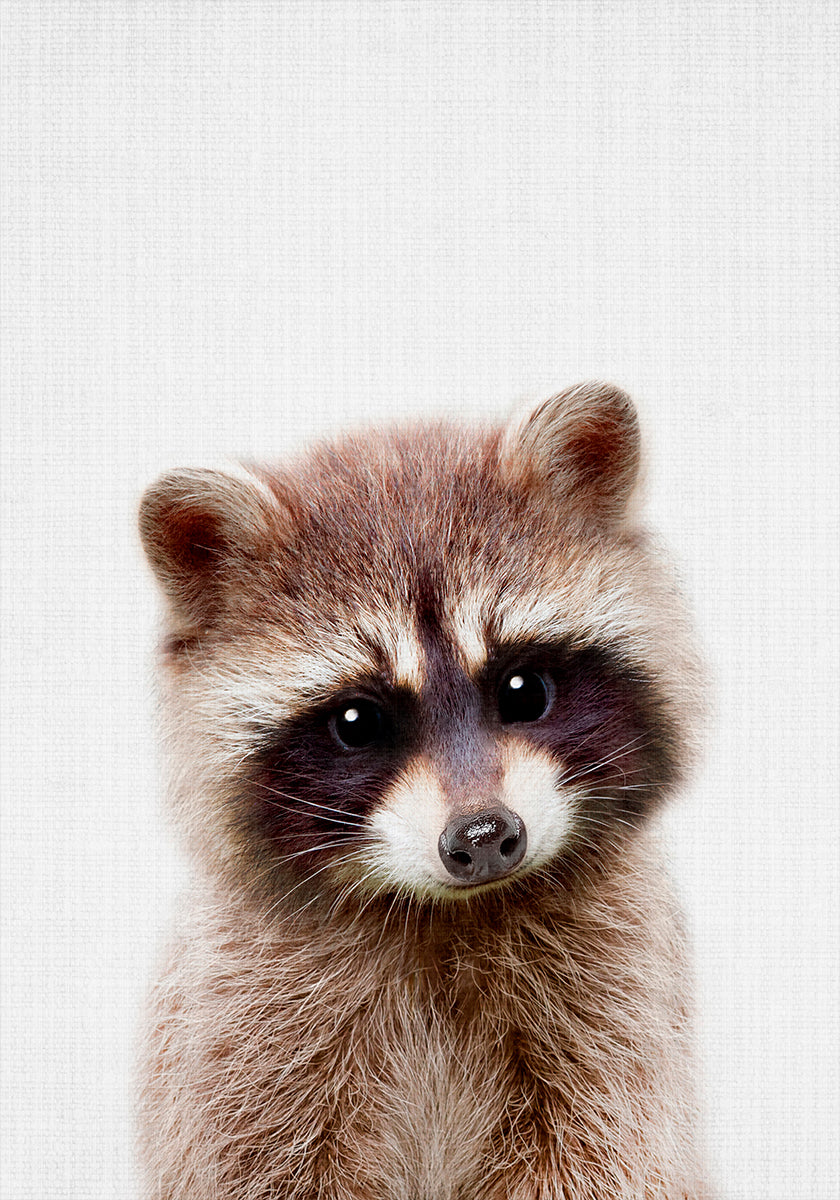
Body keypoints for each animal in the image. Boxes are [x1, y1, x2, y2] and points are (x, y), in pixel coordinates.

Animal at [137, 383, 709, 1199]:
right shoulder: (241, 1029)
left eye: (523, 689)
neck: (445, 914)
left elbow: (602, 1154)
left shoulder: (617, 1007)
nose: (484, 836)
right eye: (357, 721)